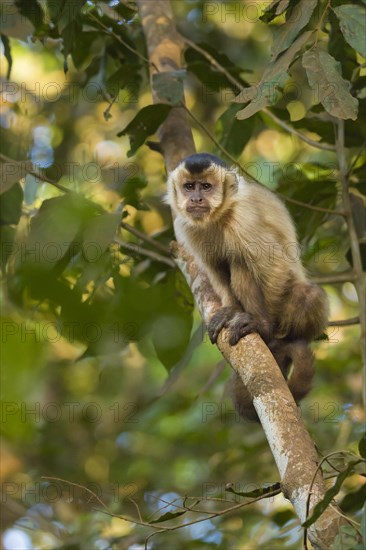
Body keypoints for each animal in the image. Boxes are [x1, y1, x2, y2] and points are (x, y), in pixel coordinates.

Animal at [166, 153, 328, 420]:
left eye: (206, 187)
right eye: (189, 186)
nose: (196, 198)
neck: (219, 216)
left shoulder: (243, 219)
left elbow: (274, 266)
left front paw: (263, 326)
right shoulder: (186, 227)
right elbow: (214, 269)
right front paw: (231, 309)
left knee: (300, 291)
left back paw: (276, 338)